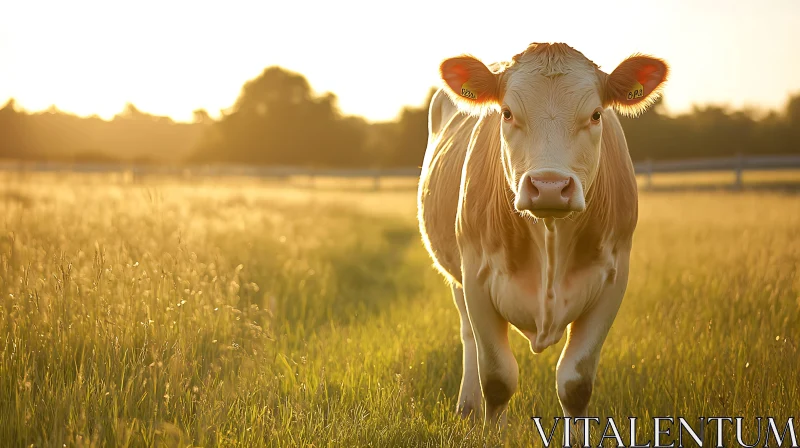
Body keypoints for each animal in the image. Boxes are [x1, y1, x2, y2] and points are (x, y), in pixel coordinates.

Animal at [416, 43, 664, 438]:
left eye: (596, 114)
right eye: (506, 113)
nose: (549, 186)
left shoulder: (613, 280)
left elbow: (575, 384)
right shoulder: (476, 278)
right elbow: (497, 379)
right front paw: (493, 435)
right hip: (456, 279)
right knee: (468, 338)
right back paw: (468, 408)